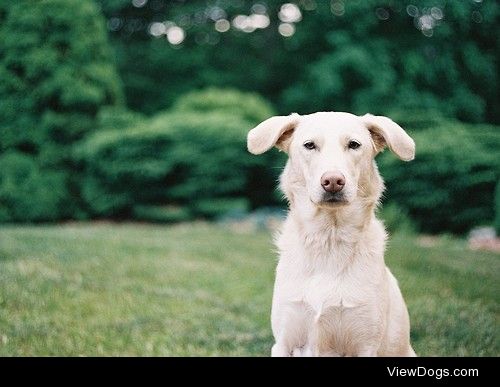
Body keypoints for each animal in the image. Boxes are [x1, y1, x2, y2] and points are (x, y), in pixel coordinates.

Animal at [248, 112, 416, 358]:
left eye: (354, 144)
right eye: (309, 145)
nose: (333, 181)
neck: (329, 238)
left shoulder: (365, 345)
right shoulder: (284, 342)